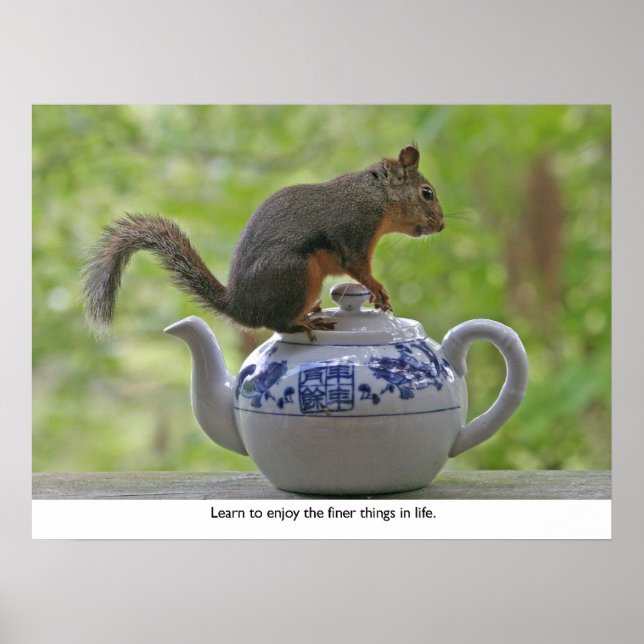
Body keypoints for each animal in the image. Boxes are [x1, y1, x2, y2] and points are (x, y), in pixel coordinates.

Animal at [82, 144, 444, 337]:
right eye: (426, 193)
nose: (441, 225)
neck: (377, 195)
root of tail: (241, 307)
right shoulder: (355, 231)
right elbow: (358, 267)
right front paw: (378, 290)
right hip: (298, 273)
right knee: (278, 323)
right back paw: (305, 322)